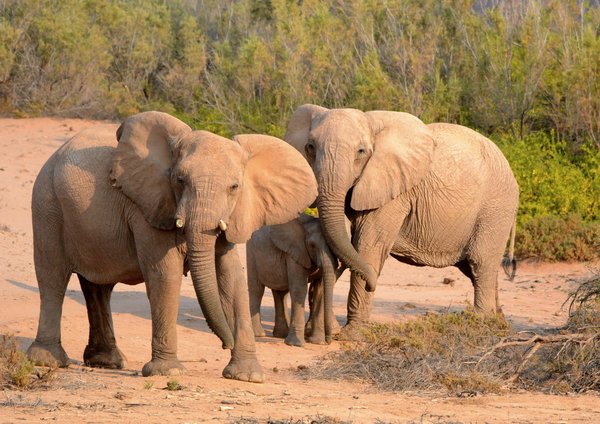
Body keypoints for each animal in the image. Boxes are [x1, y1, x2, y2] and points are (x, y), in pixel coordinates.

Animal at [25, 109, 316, 380]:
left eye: (234, 187)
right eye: (180, 181)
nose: (225, 344)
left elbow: (231, 277)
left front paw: (248, 376)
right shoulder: (148, 207)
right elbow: (165, 273)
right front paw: (168, 372)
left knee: (98, 286)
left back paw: (107, 362)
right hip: (47, 203)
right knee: (52, 277)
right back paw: (47, 360)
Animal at [246, 214, 342, 346]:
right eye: (312, 245)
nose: (329, 340)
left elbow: (320, 291)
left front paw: (318, 342)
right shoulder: (294, 253)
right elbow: (299, 288)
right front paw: (296, 344)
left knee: (281, 292)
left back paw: (280, 335)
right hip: (252, 253)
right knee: (257, 290)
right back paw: (259, 334)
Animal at [284, 104, 516, 336]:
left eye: (361, 152)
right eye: (310, 147)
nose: (371, 285)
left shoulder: (393, 191)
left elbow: (368, 247)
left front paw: (351, 334)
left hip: (495, 210)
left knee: (480, 262)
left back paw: (482, 325)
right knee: (475, 269)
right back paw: (500, 324)